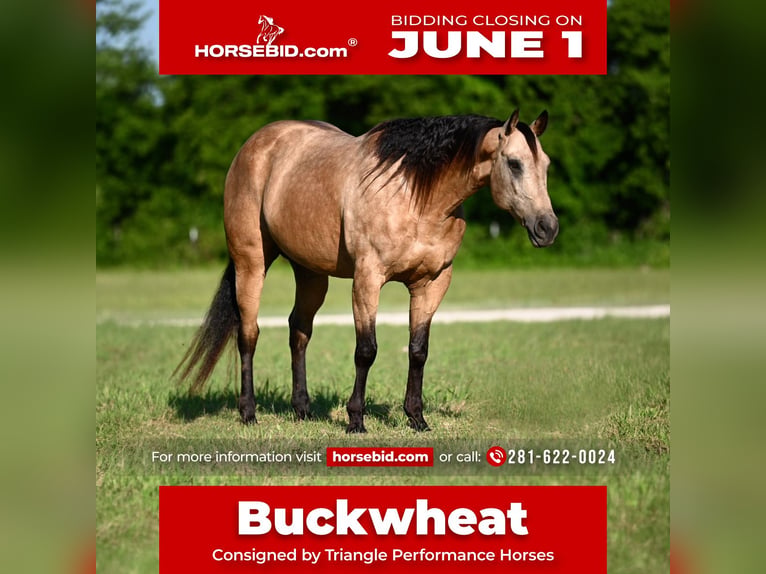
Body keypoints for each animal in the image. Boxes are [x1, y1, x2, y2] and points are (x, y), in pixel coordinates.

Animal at [174, 111, 558, 433]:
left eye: (546, 165)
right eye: (514, 163)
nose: (547, 228)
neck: (416, 196)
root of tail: (254, 145)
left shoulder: (432, 284)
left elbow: (418, 350)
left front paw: (417, 419)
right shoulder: (368, 279)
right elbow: (366, 350)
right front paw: (356, 420)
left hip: (311, 273)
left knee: (299, 331)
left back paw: (302, 410)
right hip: (251, 263)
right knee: (249, 334)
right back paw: (249, 413)